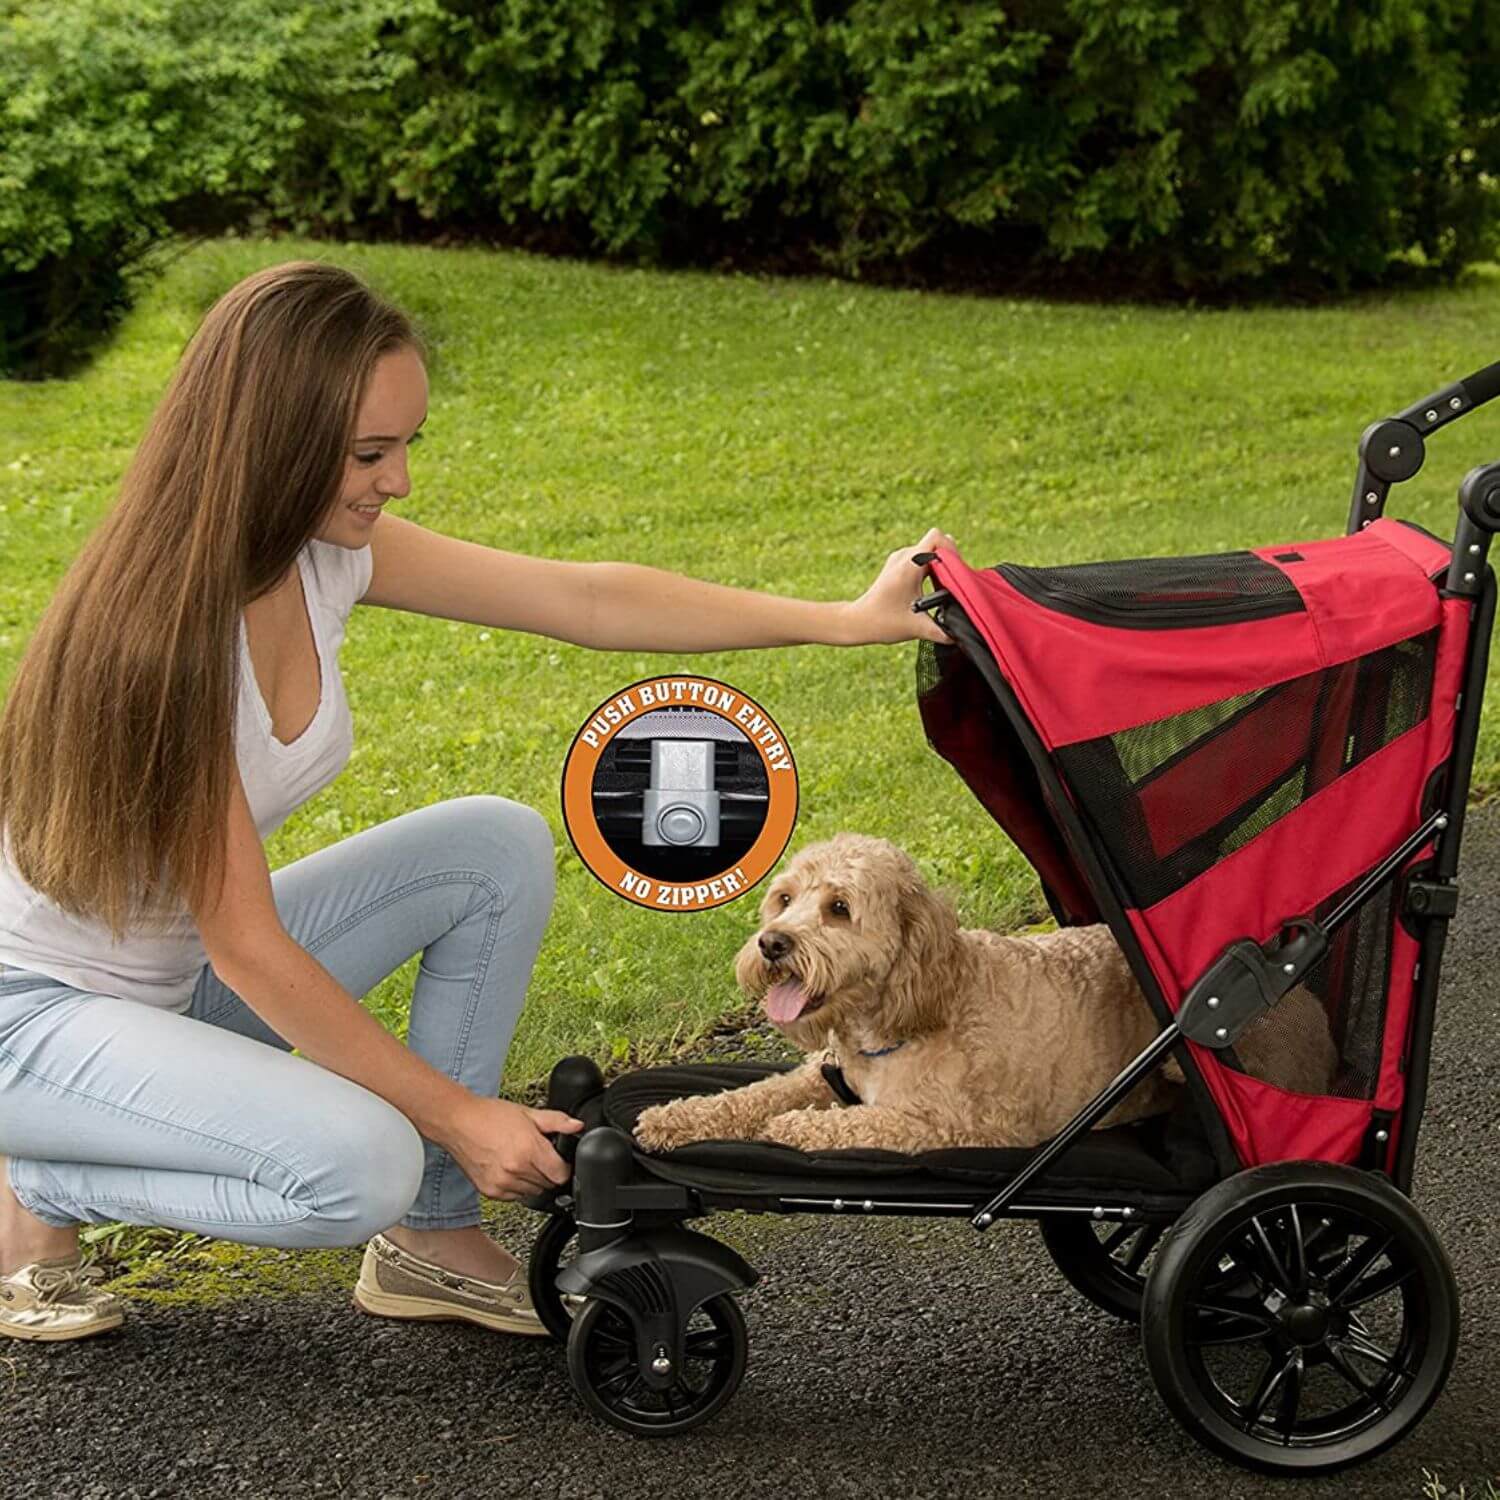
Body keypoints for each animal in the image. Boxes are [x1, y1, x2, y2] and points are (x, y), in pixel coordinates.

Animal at [630, 840, 1338, 1152]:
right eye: (783, 898)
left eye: (839, 909)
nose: (772, 943)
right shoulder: (821, 1074)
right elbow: (750, 1096)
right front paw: (673, 1118)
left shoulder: (956, 1124)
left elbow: (856, 1121)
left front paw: (797, 1128)